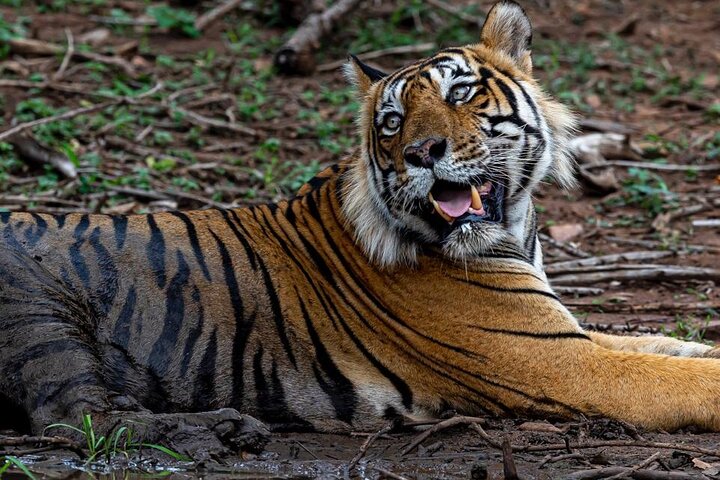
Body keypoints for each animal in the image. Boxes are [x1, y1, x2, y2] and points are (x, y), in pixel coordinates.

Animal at [2, 0, 720, 447]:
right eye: (393, 122)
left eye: (462, 93)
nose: (422, 152)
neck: (515, 228)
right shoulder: (556, 360)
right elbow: (677, 376)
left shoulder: (566, 333)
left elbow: (666, 346)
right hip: (39, 311)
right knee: (74, 419)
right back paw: (222, 431)